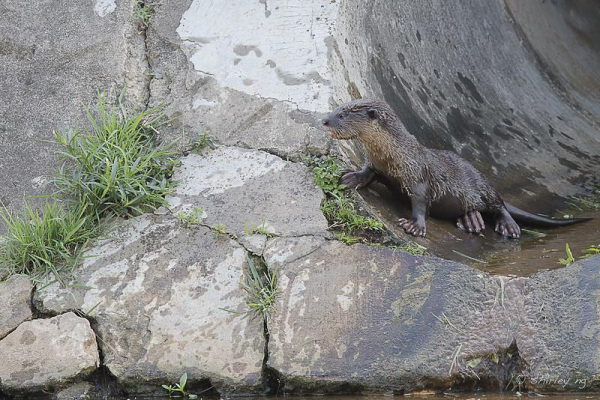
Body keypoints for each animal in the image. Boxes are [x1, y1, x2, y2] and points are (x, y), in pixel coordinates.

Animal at [324, 99, 592, 238]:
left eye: (343, 115)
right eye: (337, 109)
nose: (325, 120)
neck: (395, 154)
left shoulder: (418, 175)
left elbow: (420, 202)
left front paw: (415, 226)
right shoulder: (376, 163)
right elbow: (368, 171)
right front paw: (352, 177)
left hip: (482, 187)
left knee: (500, 206)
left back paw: (508, 226)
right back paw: (470, 221)